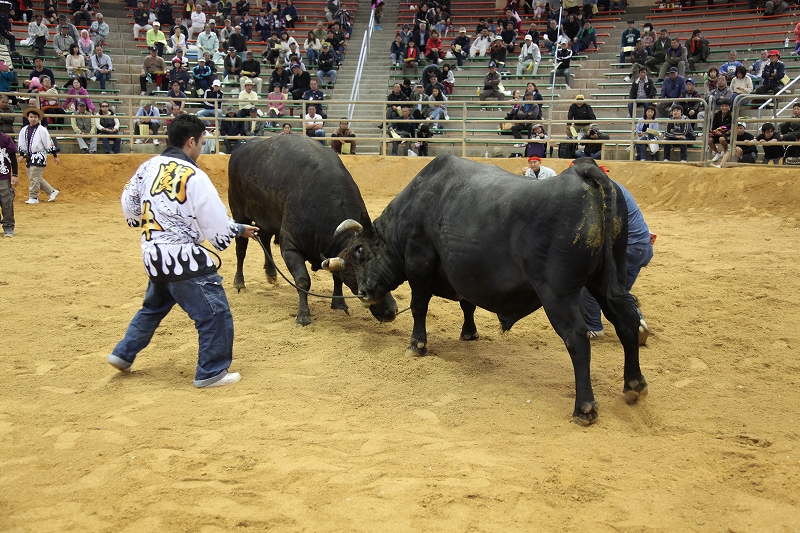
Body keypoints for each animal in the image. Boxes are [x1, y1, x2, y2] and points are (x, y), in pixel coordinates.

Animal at [227, 134, 396, 324]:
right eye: (359, 274)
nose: (391, 311)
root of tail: (240, 151)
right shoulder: (290, 248)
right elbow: (303, 281)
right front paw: (303, 314)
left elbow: (337, 278)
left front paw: (339, 305)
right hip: (239, 211)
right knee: (241, 249)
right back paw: (239, 282)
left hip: (267, 217)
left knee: (264, 238)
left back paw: (271, 274)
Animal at [328, 155, 648, 424]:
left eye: (359, 251)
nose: (364, 293)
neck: (417, 204)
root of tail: (583, 172)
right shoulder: (465, 273)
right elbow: (467, 303)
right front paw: (469, 332)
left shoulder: (419, 260)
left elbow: (419, 307)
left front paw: (417, 344)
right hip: (606, 281)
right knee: (627, 322)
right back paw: (634, 383)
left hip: (558, 294)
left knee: (577, 338)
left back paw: (584, 407)